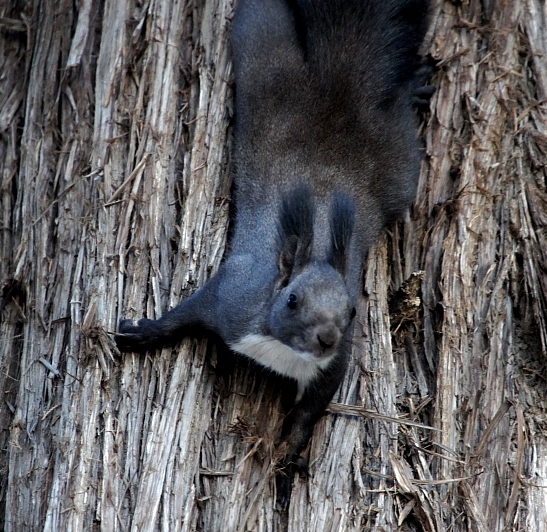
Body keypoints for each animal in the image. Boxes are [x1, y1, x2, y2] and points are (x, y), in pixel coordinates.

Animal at [116, 0, 432, 510]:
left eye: (351, 311)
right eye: (292, 300)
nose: (327, 337)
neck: (283, 350)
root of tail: (341, 83)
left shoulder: (332, 369)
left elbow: (305, 419)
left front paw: (287, 460)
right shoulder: (231, 296)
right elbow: (183, 313)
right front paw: (141, 333)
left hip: (402, 160)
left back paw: (414, 84)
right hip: (264, 55)